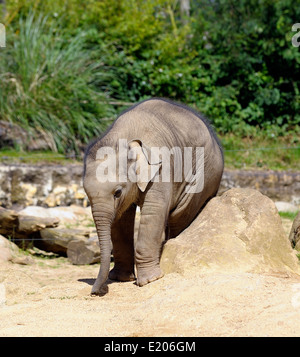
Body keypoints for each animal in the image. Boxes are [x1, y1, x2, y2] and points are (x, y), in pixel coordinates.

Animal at [82, 98, 223, 294]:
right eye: (86, 194)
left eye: (117, 192)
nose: (94, 292)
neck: (123, 138)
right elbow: (121, 219)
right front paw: (120, 278)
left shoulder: (162, 169)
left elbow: (153, 212)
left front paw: (150, 280)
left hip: (205, 176)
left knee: (179, 215)